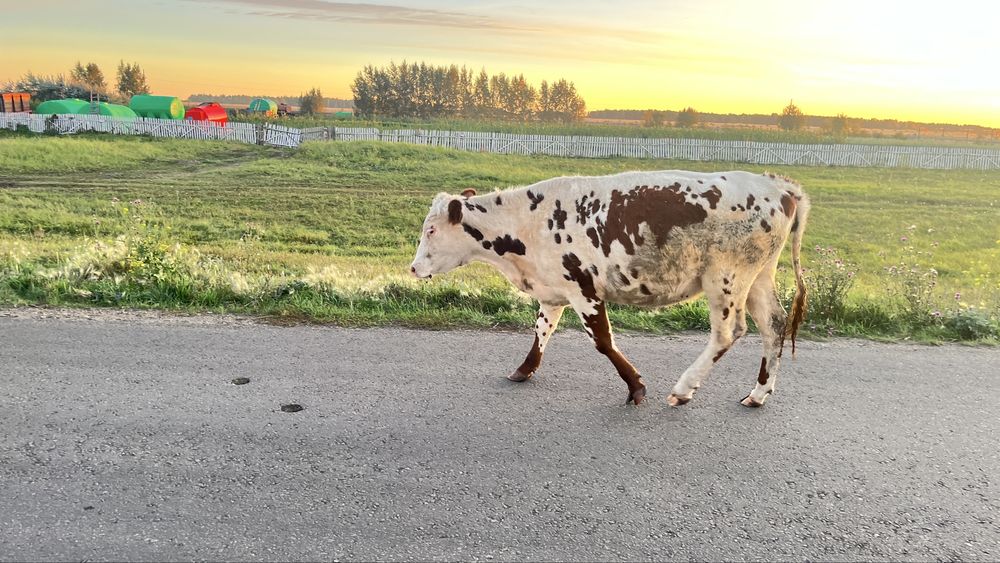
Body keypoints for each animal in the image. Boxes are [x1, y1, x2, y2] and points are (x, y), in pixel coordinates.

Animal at [410, 170, 809, 407]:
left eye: (431, 229)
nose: (413, 268)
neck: (529, 221)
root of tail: (779, 186)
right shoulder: (553, 289)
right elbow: (541, 331)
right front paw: (523, 369)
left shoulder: (583, 288)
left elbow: (602, 340)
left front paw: (635, 387)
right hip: (758, 278)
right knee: (773, 325)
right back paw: (758, 393)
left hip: (726, 278)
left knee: (729, 332)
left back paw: (684, 389)